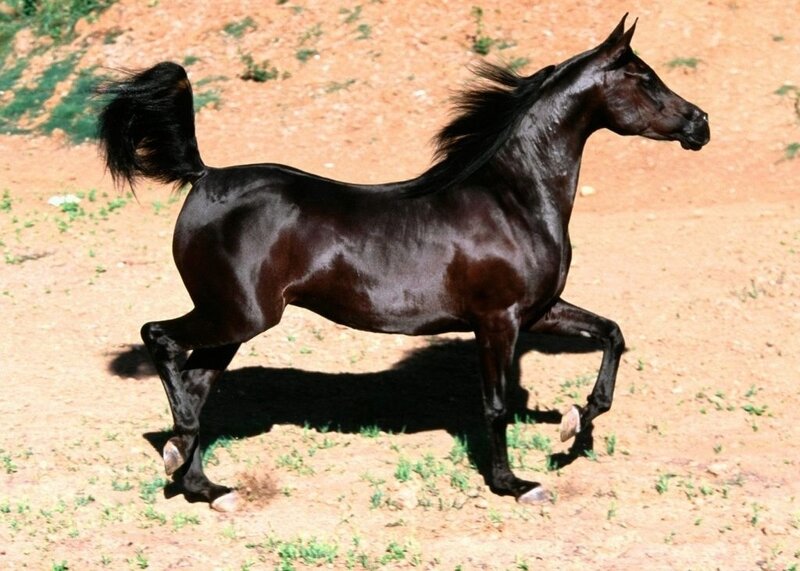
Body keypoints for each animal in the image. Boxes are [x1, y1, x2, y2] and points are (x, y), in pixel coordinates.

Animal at [97, 14, 709, 511]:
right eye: (645, 78)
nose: (700, 123)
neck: (512, 198)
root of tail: (204, 177)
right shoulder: (498, 321)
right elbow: (496, 406)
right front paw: (515, 484)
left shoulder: (539, 310)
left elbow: (611, 334)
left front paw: (573, 425)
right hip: (237, 314)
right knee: (160, 340)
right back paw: (178, 452)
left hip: (234, 323)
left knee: (197, 382)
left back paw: (205, 485)